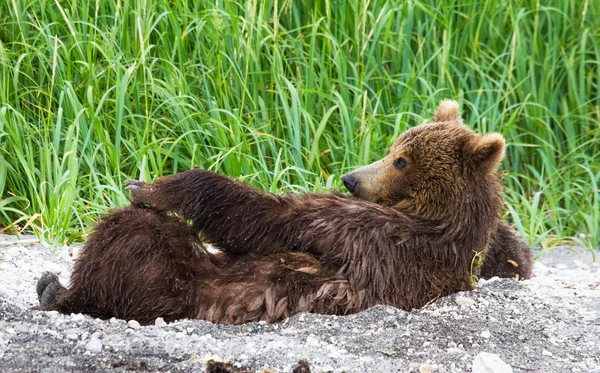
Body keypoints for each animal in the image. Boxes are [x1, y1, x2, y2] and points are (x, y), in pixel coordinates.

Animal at [35, 100, 532, 324]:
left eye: (401, 160)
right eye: (394, 148)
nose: (351, 179)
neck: (436, 220)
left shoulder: (375, 236)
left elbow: (272, 218)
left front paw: (151, 186)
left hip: (175, 284)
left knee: (134, 236)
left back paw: (61, 288)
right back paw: (51, 283)